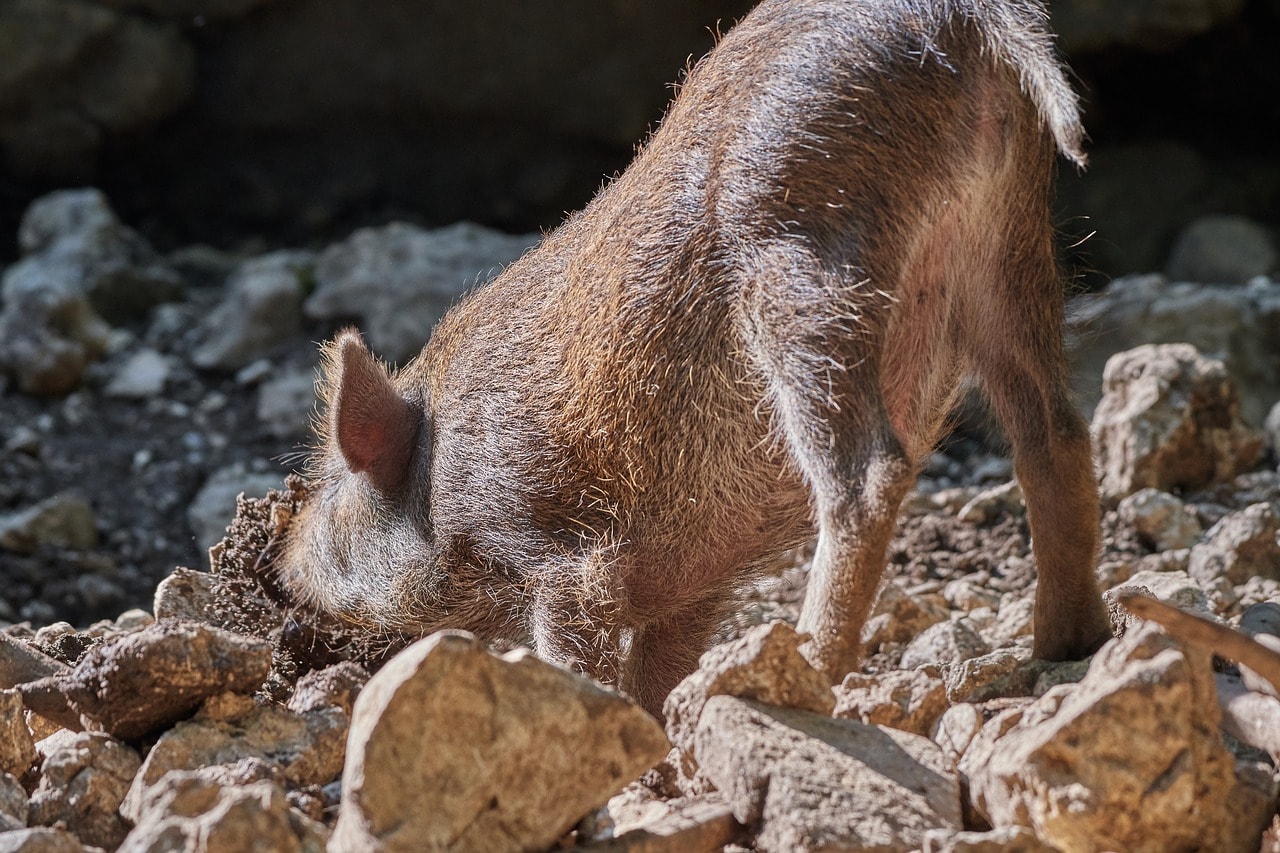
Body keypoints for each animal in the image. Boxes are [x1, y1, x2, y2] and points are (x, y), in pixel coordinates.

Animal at [275, 0, 1116, 717]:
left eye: (336, 484)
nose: (284, 570)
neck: (440, 478)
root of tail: (963, 15)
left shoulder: (560, 550)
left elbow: (577, 648)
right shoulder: (691, 586)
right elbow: (657, 665)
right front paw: (658, 730)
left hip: (803, 256)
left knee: (870, 474)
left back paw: (807, 671)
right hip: (1007, 241)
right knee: (1054, 435)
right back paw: (1067, 649)